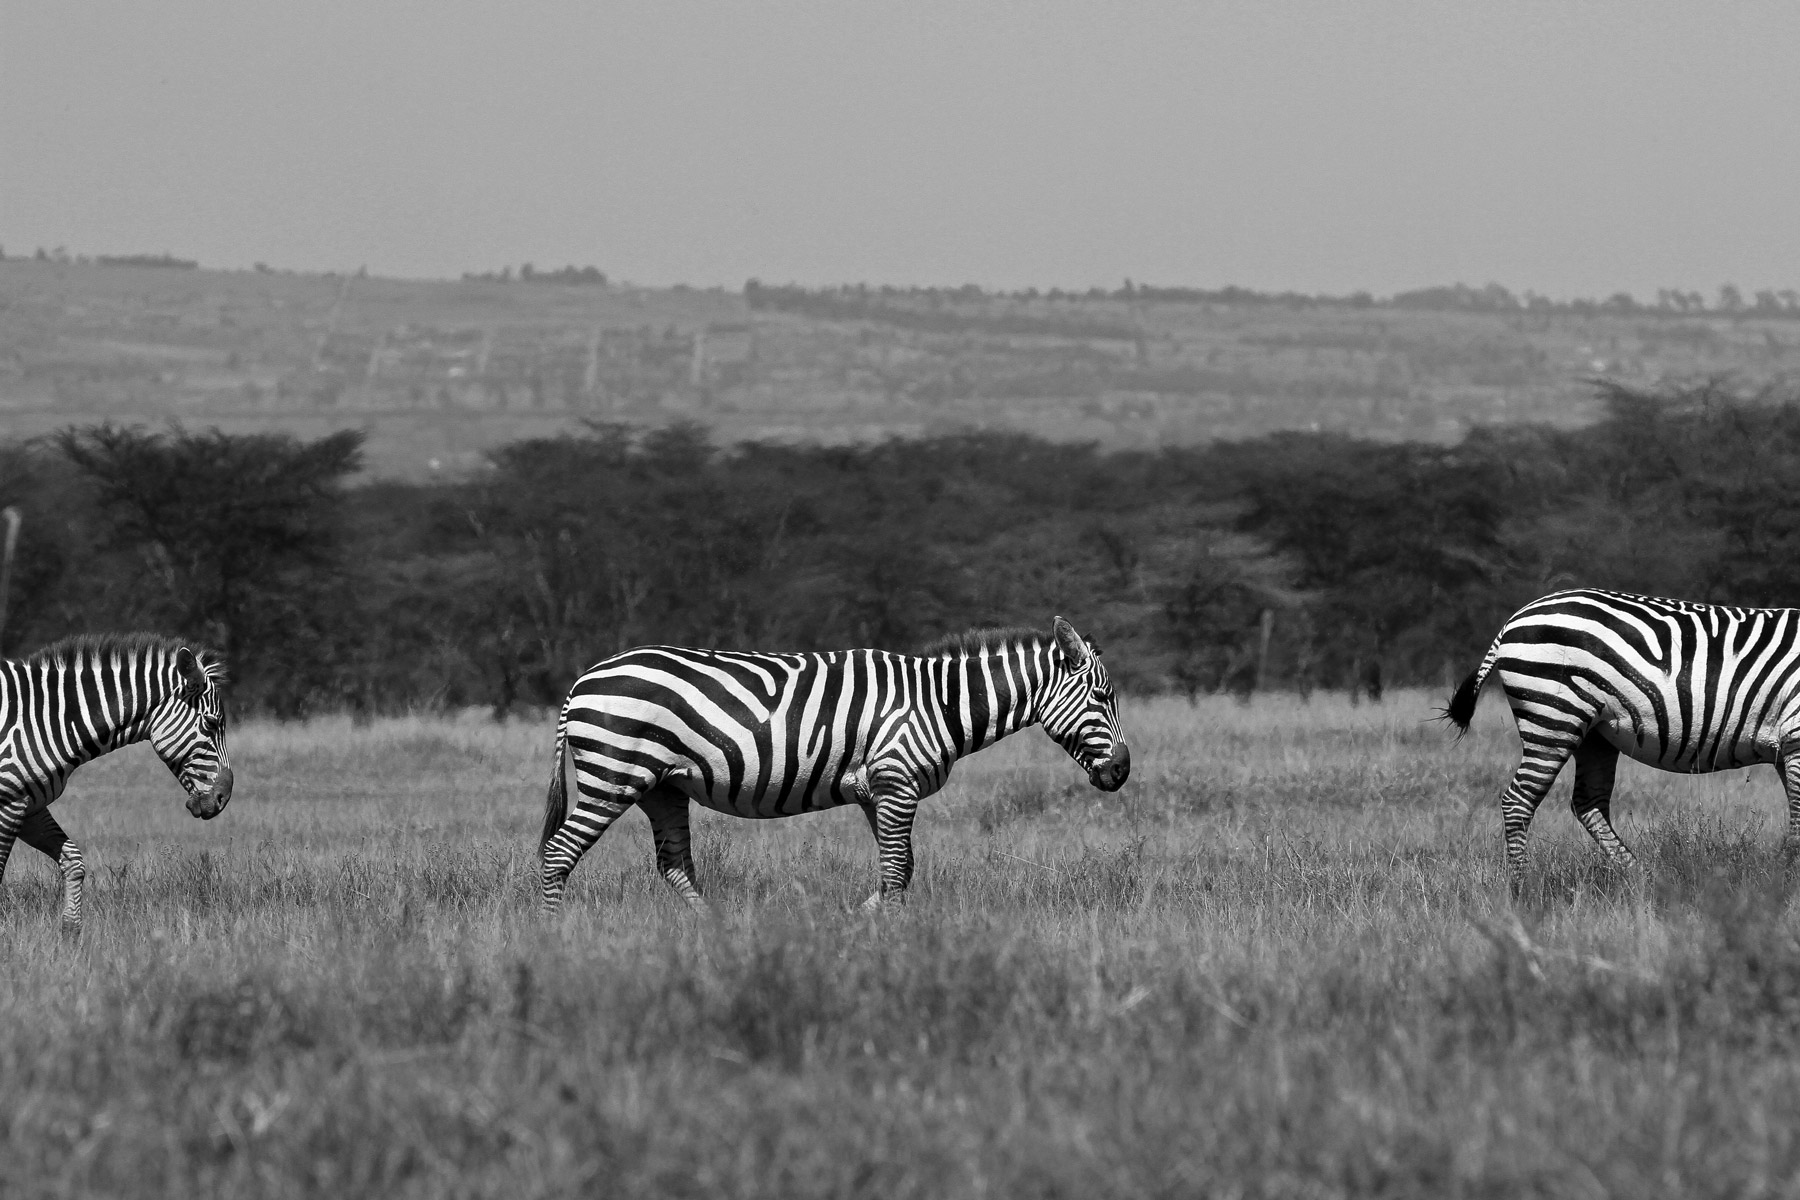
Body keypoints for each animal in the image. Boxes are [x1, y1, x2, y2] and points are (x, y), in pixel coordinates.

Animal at [0, 633, 232, 935]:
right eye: (212, 723)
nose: (223, 798)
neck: (44, 719)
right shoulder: (9, 802)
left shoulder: (29, 805)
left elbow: (74, 861)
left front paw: (70, 931)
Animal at [536, 618, 1123, 910]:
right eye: (1101, 696)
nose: (1123, 772)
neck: (938, 702)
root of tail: (582, 680)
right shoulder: (897, 781)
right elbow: (896, 872)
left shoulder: (877, 788)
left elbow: (899, 871)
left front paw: (862, 926)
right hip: (613, 776)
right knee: (558, 854)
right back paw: (552, 934)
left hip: (662, 786)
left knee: (674, 865)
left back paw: (715, 935)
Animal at [1440, 590, 1800, 892]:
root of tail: (1515, 618)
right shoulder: (1795, 738)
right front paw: (1791, 890)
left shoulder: (1787, 748)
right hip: (1554, 718)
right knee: (1519, 801)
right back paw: (1521, 892)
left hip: (1594, 735)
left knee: (1588, 803)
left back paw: (1645, 879)